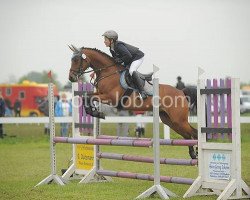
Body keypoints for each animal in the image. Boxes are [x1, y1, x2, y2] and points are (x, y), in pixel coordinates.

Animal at [68, 44, 197, 159]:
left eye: (76, 59)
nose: (71, 78)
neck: (108, 73)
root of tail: (181, 92)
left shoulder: (111, 98)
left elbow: (89, 98)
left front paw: (96, 112)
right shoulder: (100, 94)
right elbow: (86, 96)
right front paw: (95, 112)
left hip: (178, 120)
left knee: (193, 133)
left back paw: (196, 154)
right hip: (169, 120)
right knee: (187, 135)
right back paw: (193, 154)